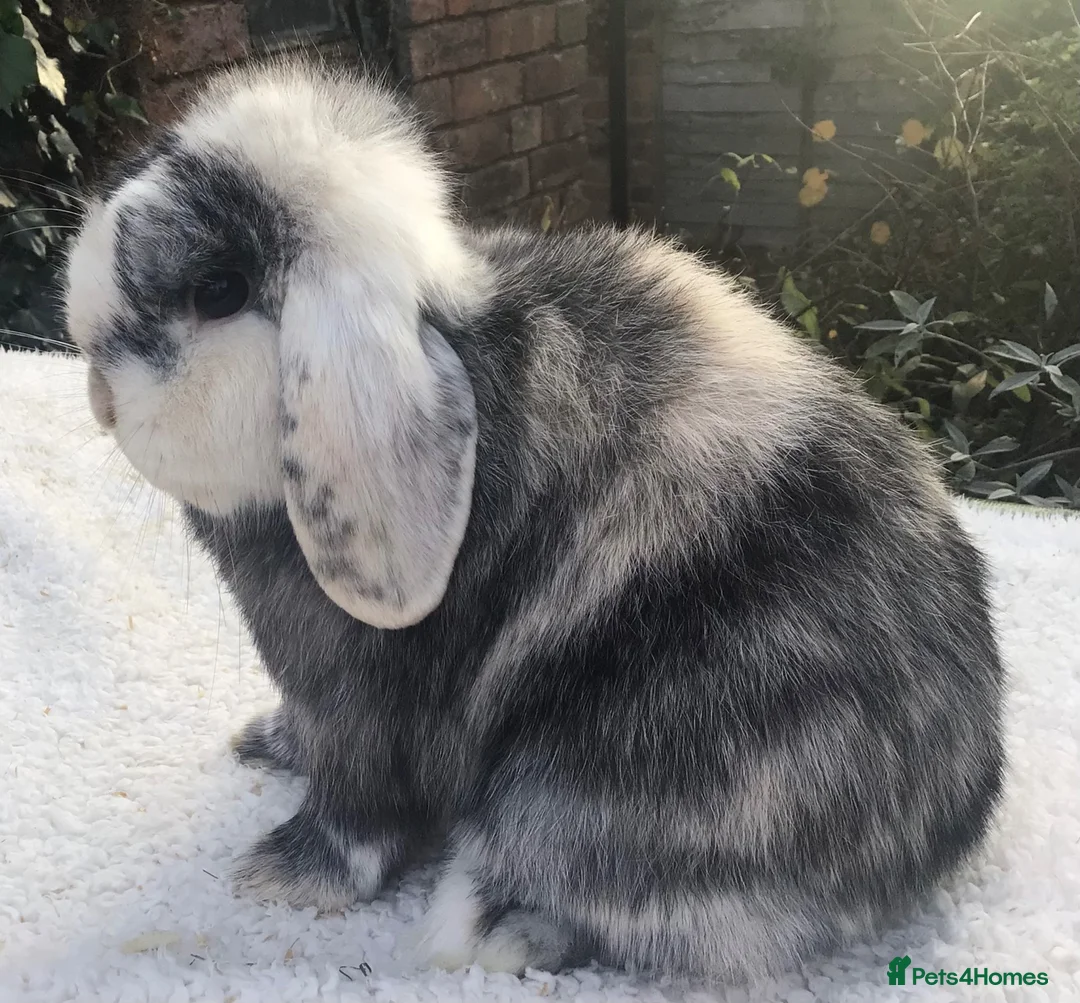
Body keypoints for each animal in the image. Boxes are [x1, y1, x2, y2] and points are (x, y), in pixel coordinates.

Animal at [63, 60, 1005, 983]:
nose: (99, 396)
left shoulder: (352, 700)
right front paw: (263, 740)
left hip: (592, 792)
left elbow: (355, 813)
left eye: (218, 291)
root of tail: (928, 844)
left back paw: (501, 934)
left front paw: (280, 876)